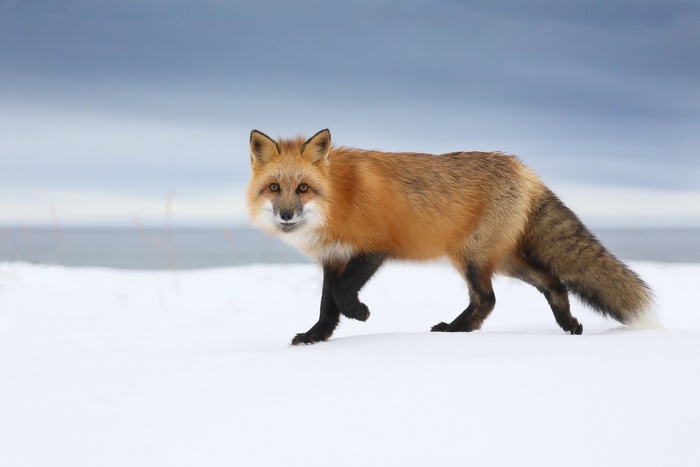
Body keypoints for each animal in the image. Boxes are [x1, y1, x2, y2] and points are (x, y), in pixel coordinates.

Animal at [247, 129, 657, 345]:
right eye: (274, 188)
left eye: (303, 188)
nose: (286, 215)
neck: (339, 198)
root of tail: (525, 170)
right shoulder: (333, 257)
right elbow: (327, 305)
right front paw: (315, 336)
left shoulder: (374, 247)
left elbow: (343, 295)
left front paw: (361, 313)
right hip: (501, 260)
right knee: (550, 283)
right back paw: (567, 325)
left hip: (472, 258)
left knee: (487, 299)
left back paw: (454, 330)